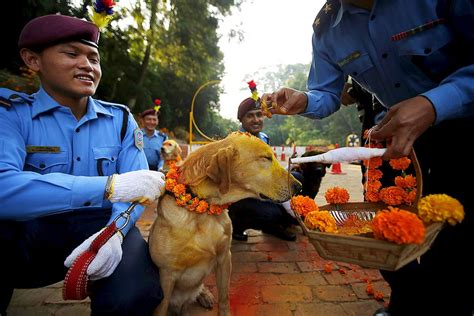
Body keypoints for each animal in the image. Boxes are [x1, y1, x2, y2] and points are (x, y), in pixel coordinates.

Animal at [150, 132, 302, 314]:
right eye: (266, 158)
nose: (299, 187)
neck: (203, 209)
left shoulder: (224, 258)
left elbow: (224, 298)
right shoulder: (166, 275)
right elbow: (160, 309)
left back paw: (205, 295)